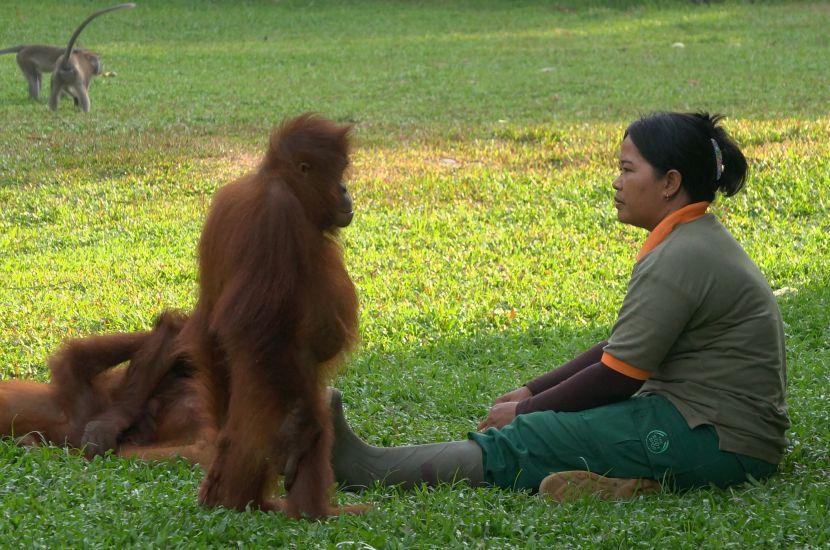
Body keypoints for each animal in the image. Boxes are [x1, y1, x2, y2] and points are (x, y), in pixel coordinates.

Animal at [0, 2, 135, 113]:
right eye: (99, 61)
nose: (101, 68)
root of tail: (24, 47)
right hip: (24, 60)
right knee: (34, 78)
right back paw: (36, 99)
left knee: (38, 77)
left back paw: (37, 100)